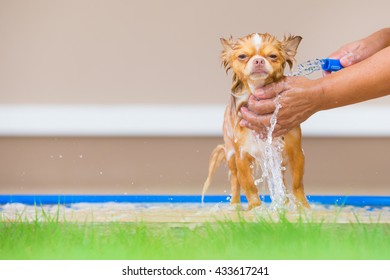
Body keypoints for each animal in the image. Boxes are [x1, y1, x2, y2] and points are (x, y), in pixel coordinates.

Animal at [203, 32, 310, 210]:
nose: (259, 60)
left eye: (273, 56)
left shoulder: (295, 152)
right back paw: (235, 207)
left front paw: (303, 208)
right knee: (235, 182)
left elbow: (297, 184)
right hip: (231, 154)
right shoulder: (242, 156)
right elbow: (249, 185)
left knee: (282, 181)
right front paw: (255, 209)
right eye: (242, 56)